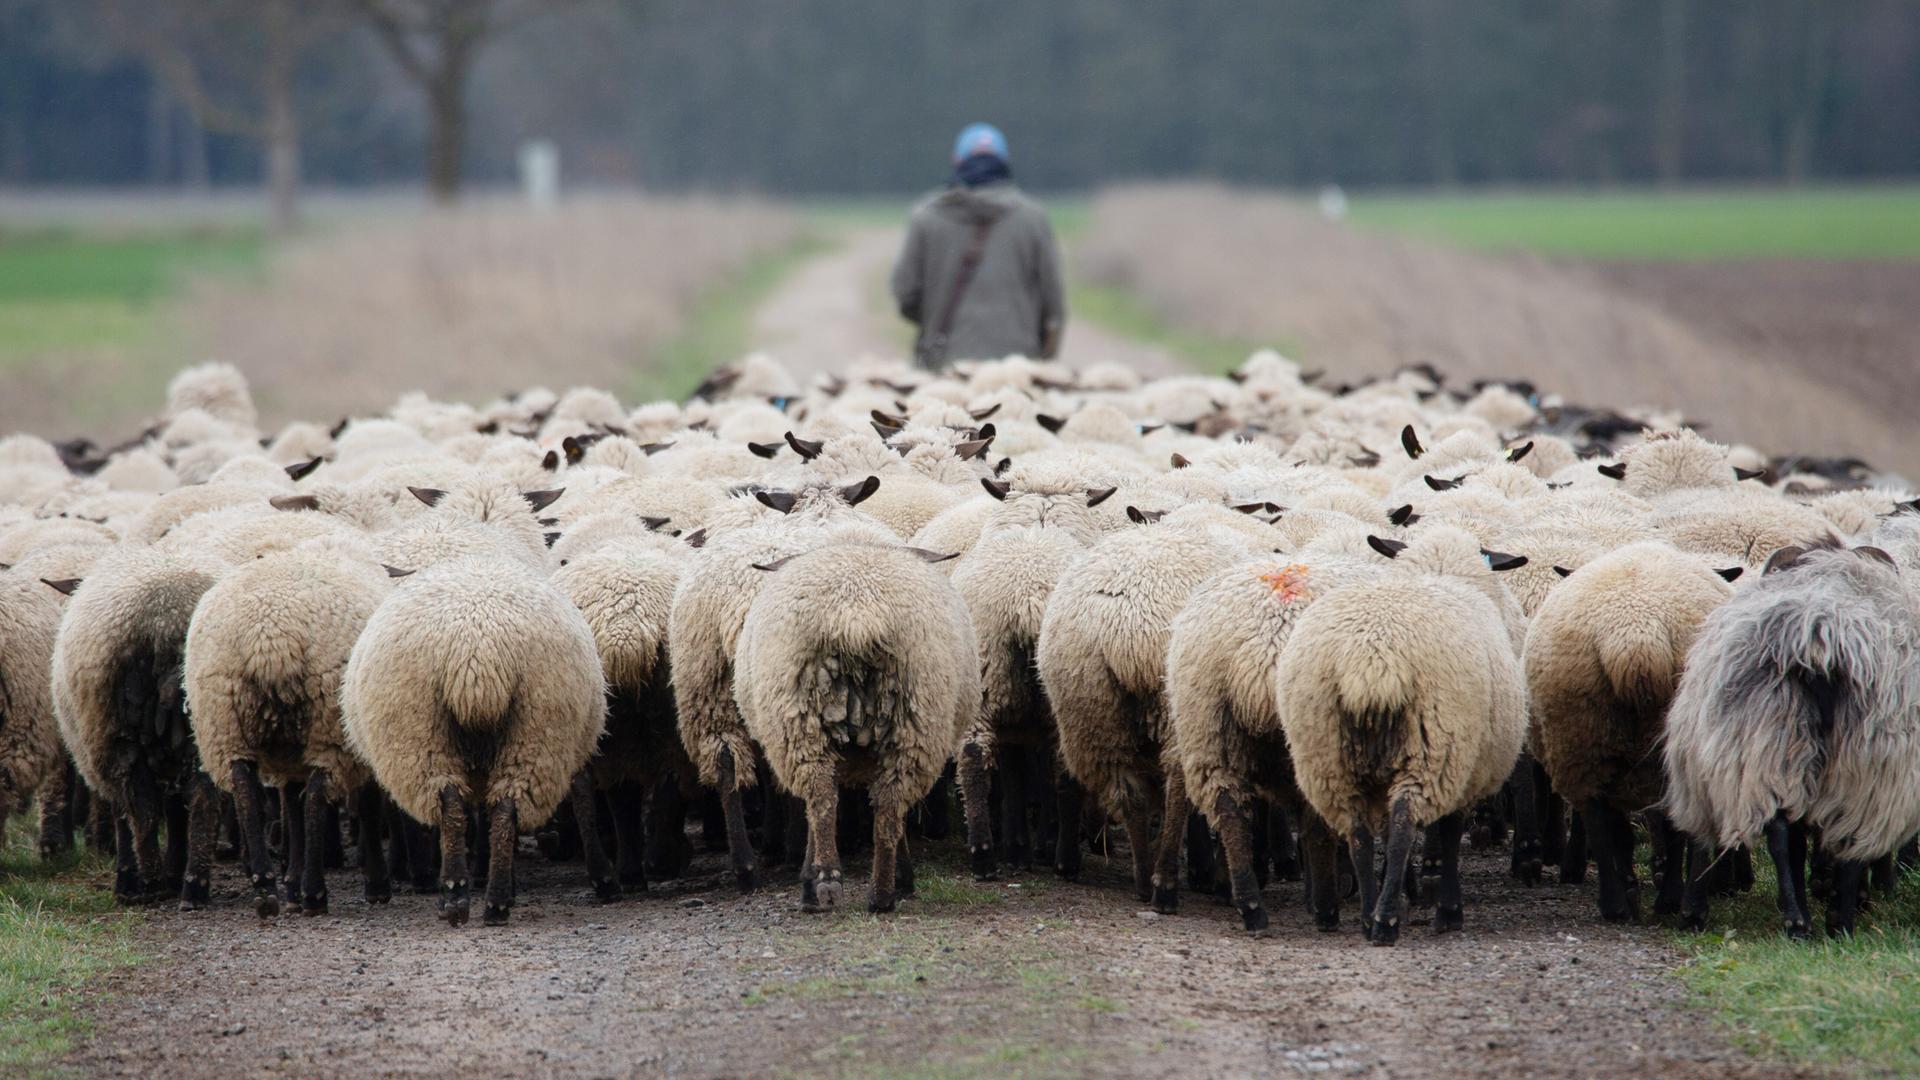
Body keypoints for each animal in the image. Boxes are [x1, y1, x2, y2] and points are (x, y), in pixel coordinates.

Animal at [734, 541, 977, 912]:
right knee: (881, 804)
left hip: (803, 720)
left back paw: (834, 884)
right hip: (911, 718)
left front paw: (810, 875)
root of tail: (856, 615)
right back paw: (878, 890)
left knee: (826, 798)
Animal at [1276, 525, 1529, 943]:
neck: (1441, 571)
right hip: (1433, 745)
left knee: (1359, 833)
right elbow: (1448, 832)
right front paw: (1448, 909)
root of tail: (1372, 659)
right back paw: (1386, 920)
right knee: (1403, 823)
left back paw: (1368, 914)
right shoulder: (1464, 762)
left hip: (1325, 751)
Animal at [1663, 540, 1920, 937]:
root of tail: (1818, 634)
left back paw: (1804, 920)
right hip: (1855, 755)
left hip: (1779, 743)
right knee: (1831, 838)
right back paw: (1829, 919)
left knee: (1790, 832)